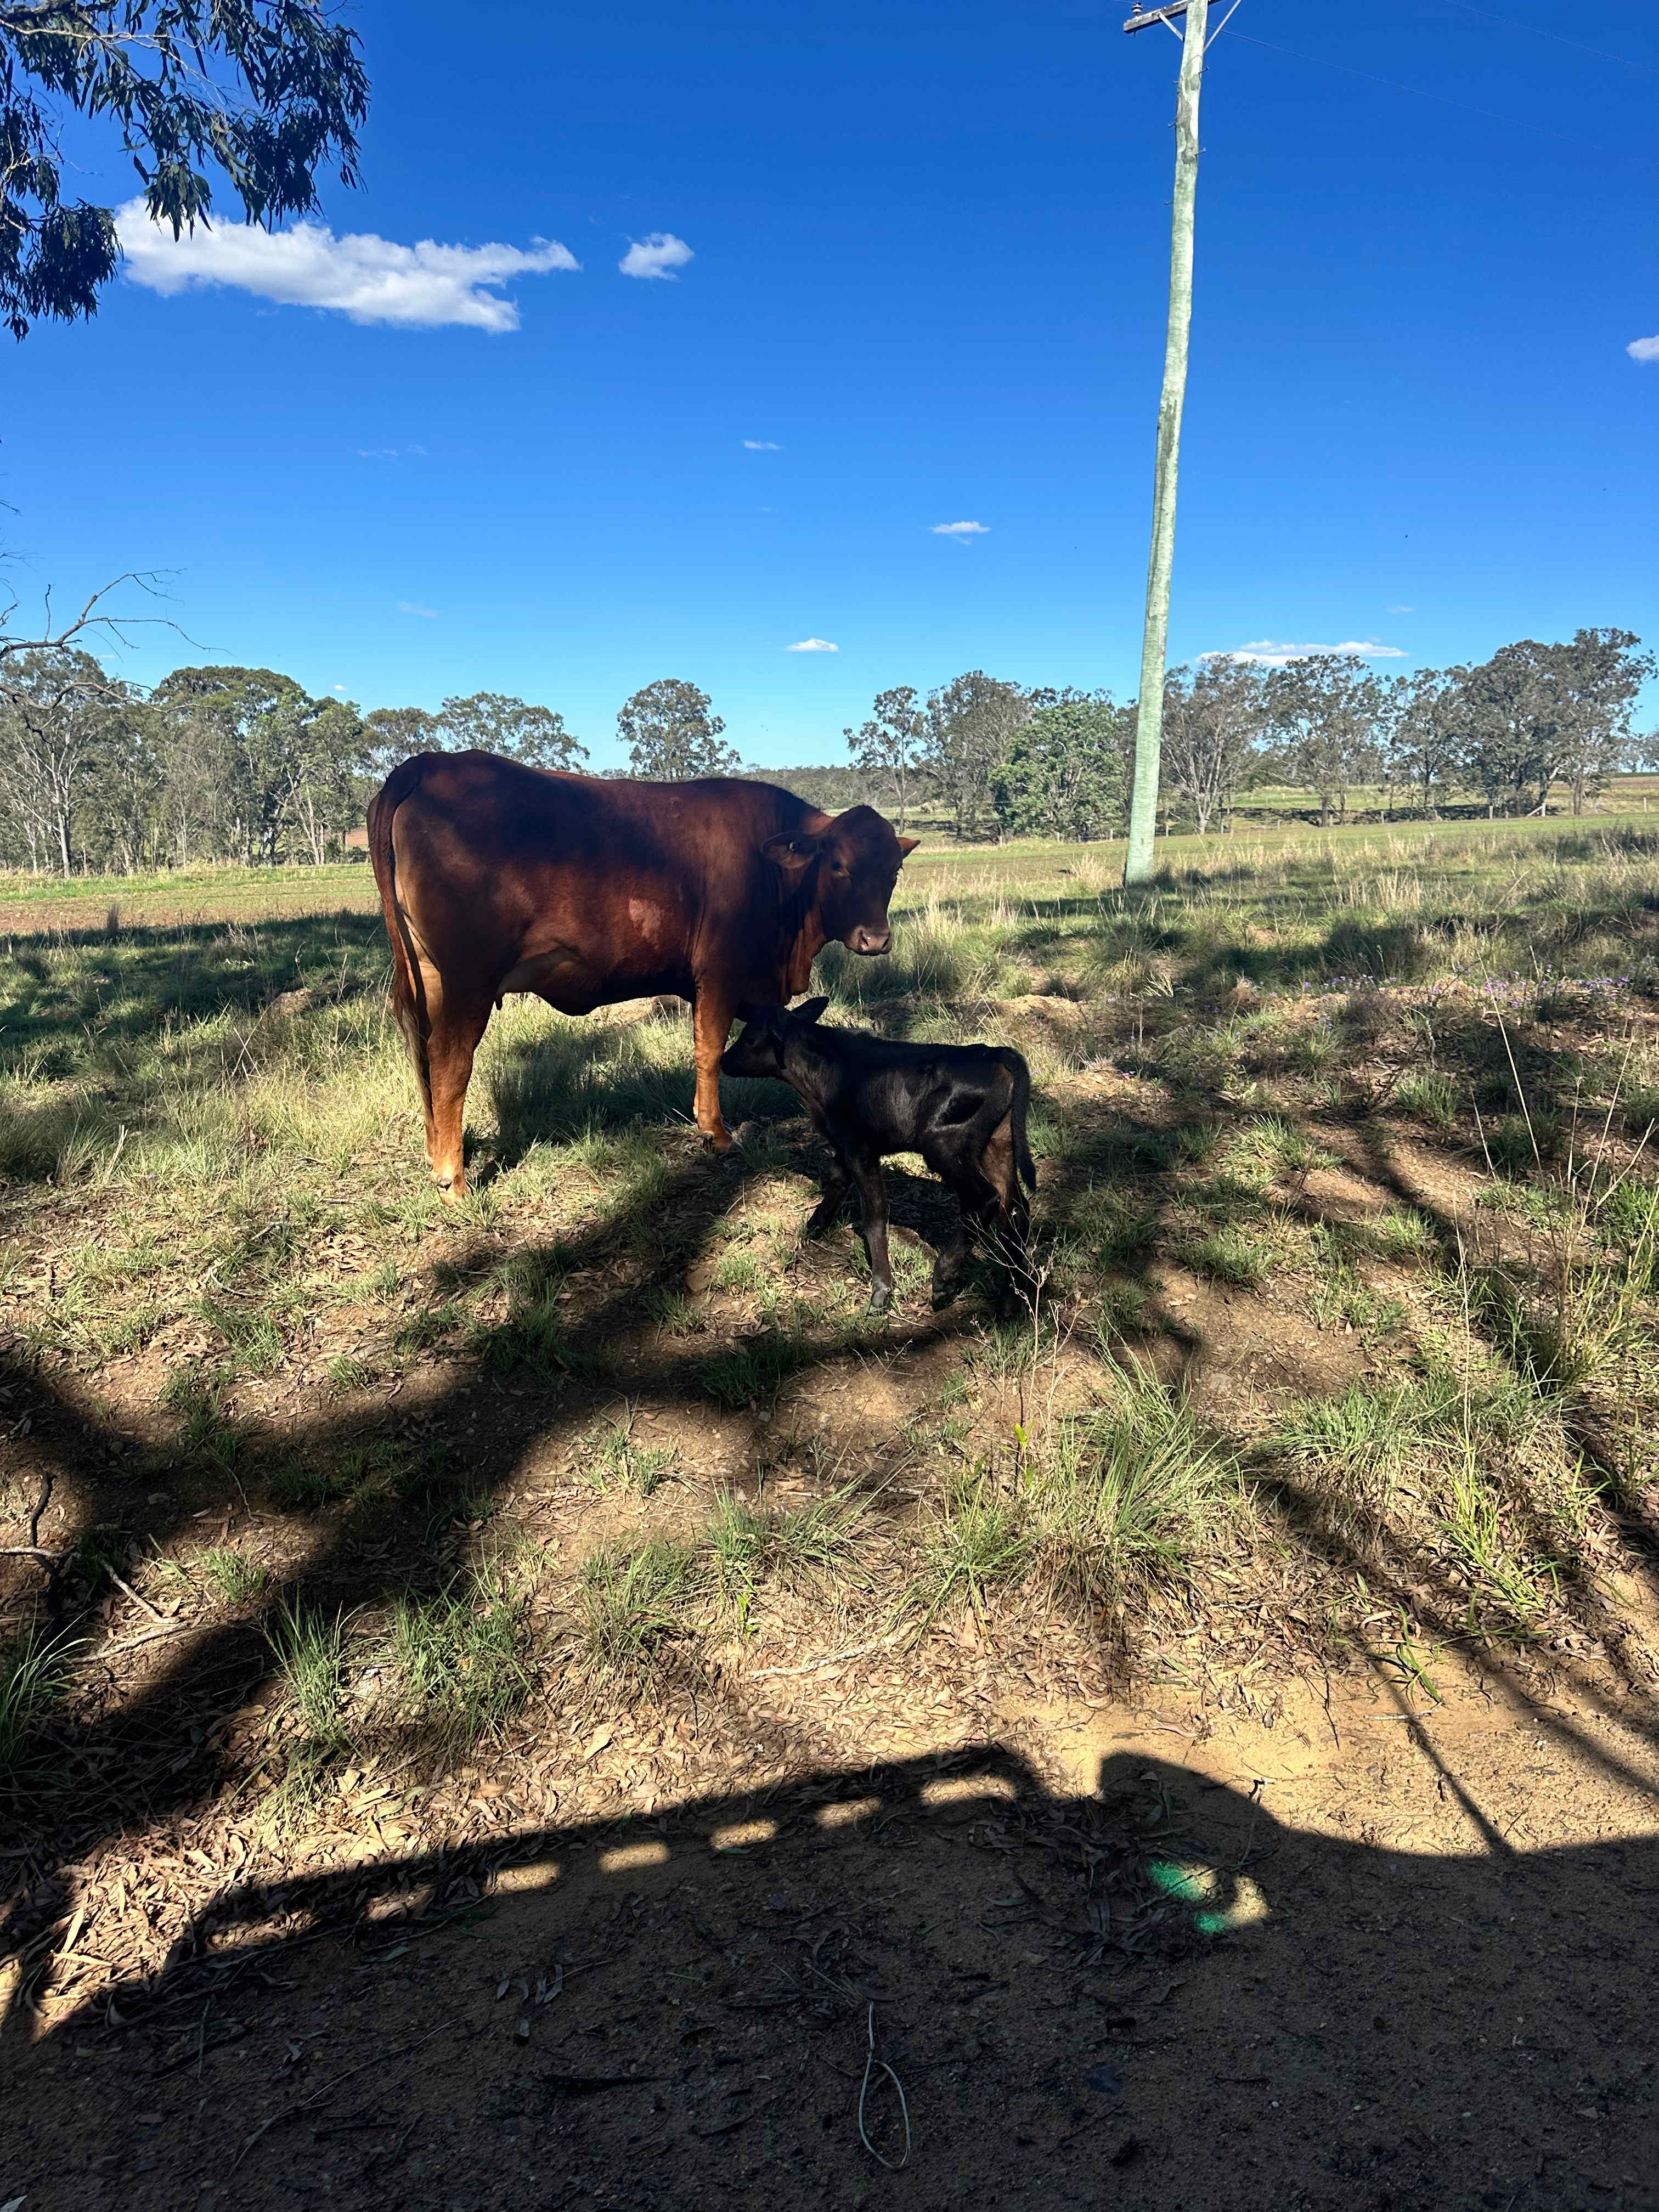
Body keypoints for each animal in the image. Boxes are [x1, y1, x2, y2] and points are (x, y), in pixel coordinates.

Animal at [367, 752, 917, 1199]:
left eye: (894, 870)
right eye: (839, 864)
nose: (875, 939)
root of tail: (431, 763)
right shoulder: (719, 971)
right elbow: (709, 1049)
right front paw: (716, 1133)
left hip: (428, 976)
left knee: (422, 1054)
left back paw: (435, 1152)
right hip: (469, 981)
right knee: (449, 1061)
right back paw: (453, 1179)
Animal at [720, 998, 1037, 1312]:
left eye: (749, 1039)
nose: (723, 1061)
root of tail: (994, 1053)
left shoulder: (861, 1148)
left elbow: (874, 1213)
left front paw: (882, 1289)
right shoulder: (844, 1143)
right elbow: (837, 1180)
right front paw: (815, 1225)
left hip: (945, 1146)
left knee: (986, 1200)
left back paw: (944, 1276)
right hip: (997, 1145)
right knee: (1015, 1210)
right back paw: (1010, 1300)